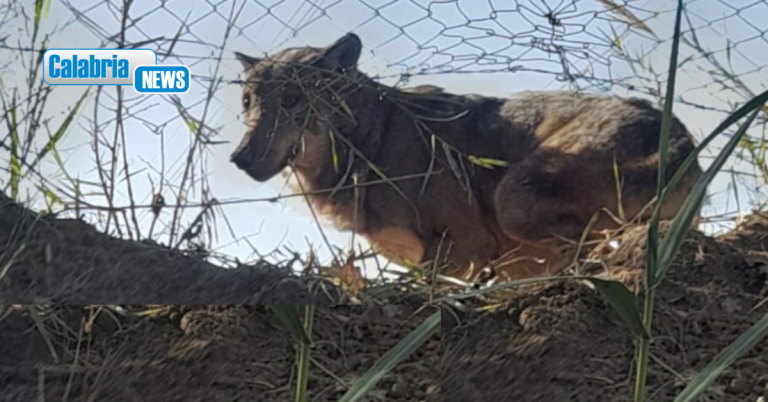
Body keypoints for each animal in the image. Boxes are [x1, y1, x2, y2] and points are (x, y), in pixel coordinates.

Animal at [230, 33, 703, 281]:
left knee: (582, 248)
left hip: (513, 199)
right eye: (248, 101)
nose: (238, 158)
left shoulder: (462, 253)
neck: (372, 142)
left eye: (292, 100)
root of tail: (682, 142)